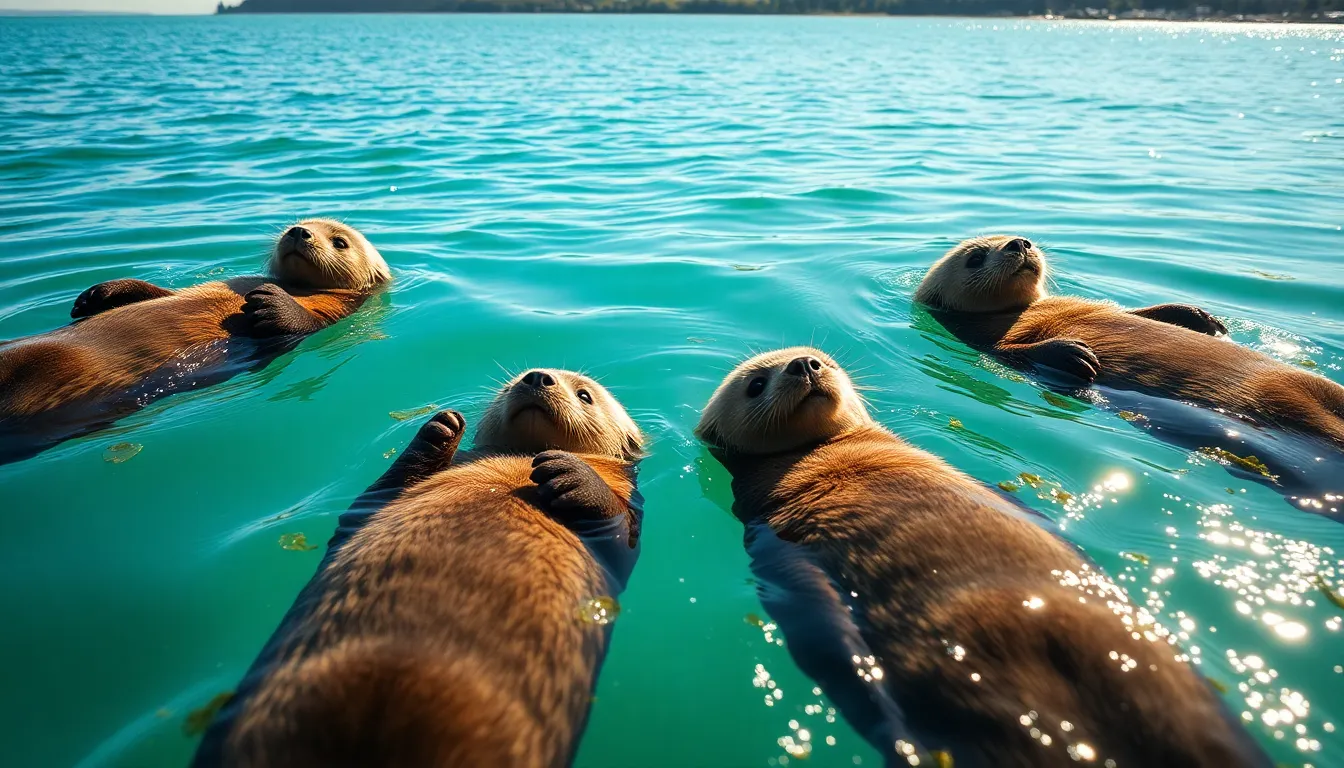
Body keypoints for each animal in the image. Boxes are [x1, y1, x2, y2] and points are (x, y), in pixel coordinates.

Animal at [0, 219, 389, 464]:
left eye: (340, 242)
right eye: (300, 223)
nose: (299, 231)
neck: (297, 287)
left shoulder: (331, 312)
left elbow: (298, 323)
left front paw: (269, 302)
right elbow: (156, 292)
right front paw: (99, 294)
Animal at [193, 368, 643, 768]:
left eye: (585, 395)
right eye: (515, 380)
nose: (536, 377)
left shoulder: (627, 525)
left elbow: (619, 536)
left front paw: (571, 471)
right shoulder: (376, 501)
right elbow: (376, 494)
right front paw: (440, 428)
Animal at [914, 235, 1344, 505]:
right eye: (975, 258)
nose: (1019, 243)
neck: (1020, 310)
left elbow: (1135, 311)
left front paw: (1197, 315)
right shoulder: (985, 342)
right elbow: (1014, 352)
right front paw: (1074, 354)